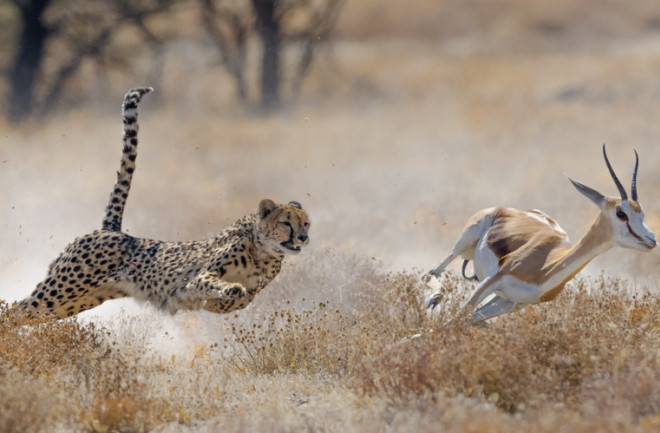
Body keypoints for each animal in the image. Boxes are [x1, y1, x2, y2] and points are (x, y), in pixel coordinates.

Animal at [16, 87, 310, 318]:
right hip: (61, 289)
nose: (303, 238)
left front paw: (226, 299)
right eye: (286, 223)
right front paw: (230, 289)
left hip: (72, 302)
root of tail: (111, 229)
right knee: (14, 310)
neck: (264, 251)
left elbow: (243, 300)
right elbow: (218, 285)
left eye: (306, 224)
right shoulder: (199, 277)